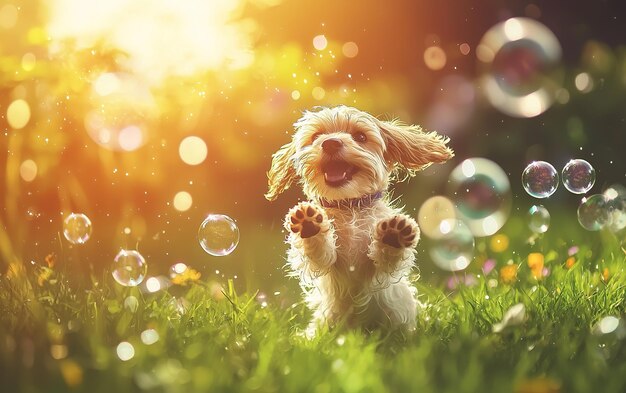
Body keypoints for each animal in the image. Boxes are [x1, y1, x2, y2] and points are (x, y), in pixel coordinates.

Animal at [264, 105, 454, 332]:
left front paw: (393, 235)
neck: (349, 206)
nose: (330, 142)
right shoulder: (327, 262)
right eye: (316, 136)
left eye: (360, 136)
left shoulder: (377, 271)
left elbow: (385, 259)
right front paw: (309, 224)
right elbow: (320, 252)